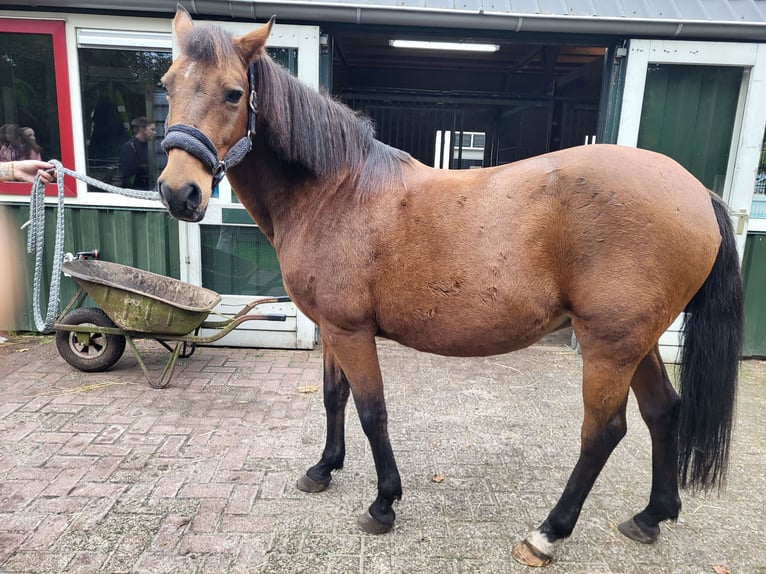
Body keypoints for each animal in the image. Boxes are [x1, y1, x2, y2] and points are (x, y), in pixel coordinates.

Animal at [160, 6, 744, 568]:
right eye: (166, 83)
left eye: (234, 93)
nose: (178, 192)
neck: (336, 191)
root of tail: (698, 193)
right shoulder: (331, 328)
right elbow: (333, 397)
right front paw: (323, 469)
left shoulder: (351, 331)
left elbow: (372, 411)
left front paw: (383, 503)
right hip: (636, 342)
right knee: (663, 411)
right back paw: (651, 516)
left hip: (609, 346)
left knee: (603, 432)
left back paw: (547, 534)